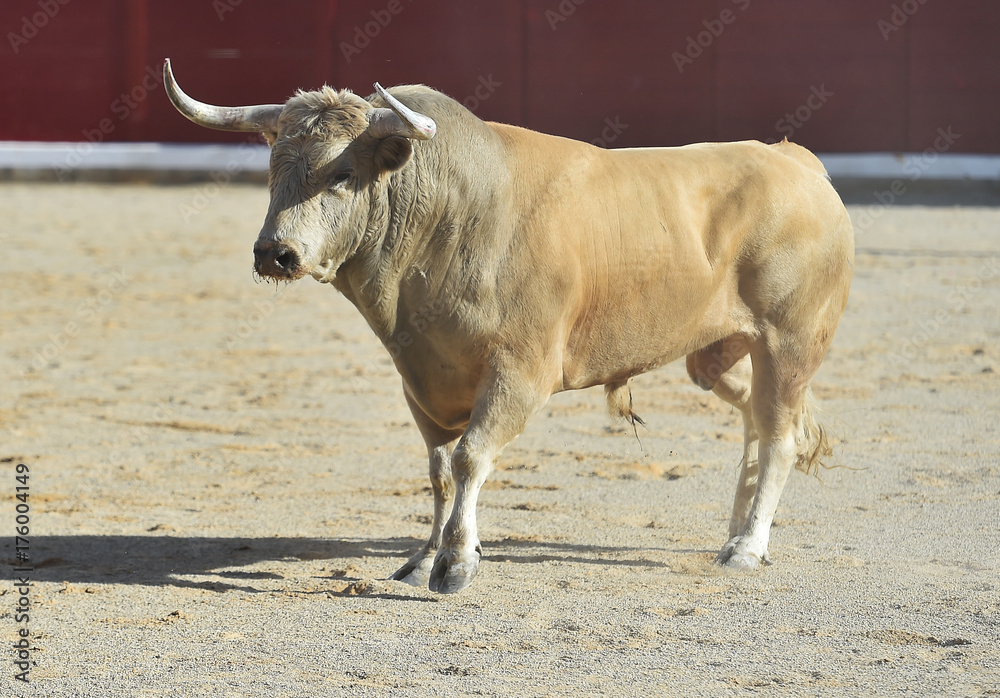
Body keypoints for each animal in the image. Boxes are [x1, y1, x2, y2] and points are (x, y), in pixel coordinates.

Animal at [163, 59, 853, 594]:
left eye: (342, 174)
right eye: (274, 168)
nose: (274, 253)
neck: (449, 216)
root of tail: (798, 163)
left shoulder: (520, 372)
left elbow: (471, 456)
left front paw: (457, 563)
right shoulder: (420, 380)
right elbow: (440, 469)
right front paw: (423, 558)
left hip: (790, 343)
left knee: (781, 433)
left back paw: (747, 547)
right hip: (715, 353)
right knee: (758, 420)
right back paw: (737, 532)